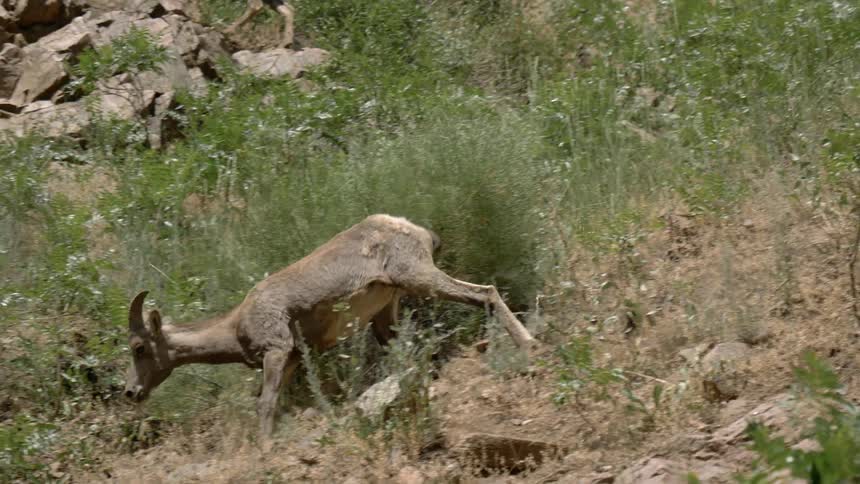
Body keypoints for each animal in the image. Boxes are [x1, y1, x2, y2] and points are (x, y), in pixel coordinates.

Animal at [124, 214, 535, 438]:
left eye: (139, 347)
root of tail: (415, 230)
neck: (235, 324)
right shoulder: (293, 359)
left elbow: (265, 404)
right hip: (386, 314)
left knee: (485, 294)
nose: (131, 392)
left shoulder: (277, 351)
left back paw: (528, 345)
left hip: (420, 277)